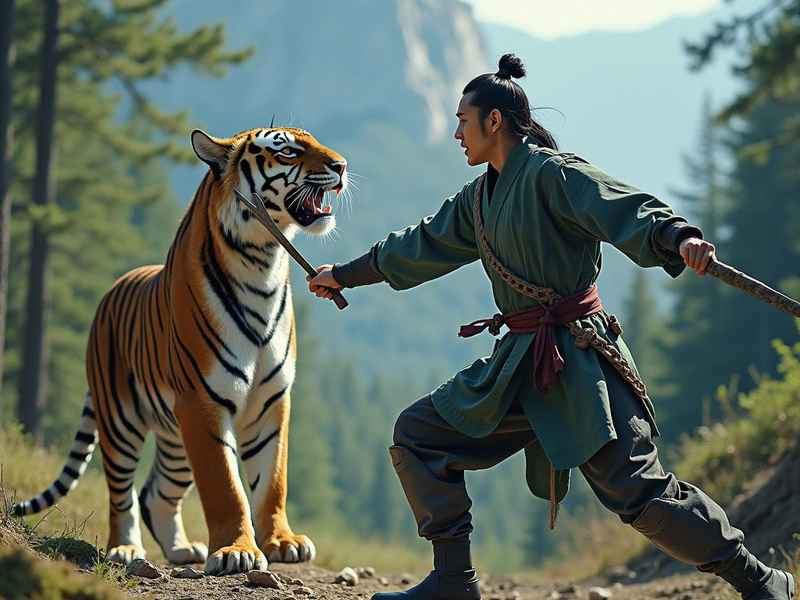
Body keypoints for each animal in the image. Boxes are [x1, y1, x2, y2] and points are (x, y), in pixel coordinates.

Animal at [13, 126, 348, 575]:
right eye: (288, 151)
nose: (341, 165)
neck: (264, 263)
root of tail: (114, 287)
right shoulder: (203, 403)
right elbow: (225, 487)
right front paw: (237, 551)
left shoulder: (271, 401)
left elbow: (273, 481)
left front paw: (283, 542)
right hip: (120, 421)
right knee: (121, 492)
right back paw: (125, 550)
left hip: (175, 437)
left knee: (157, 493)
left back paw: (181, 550)